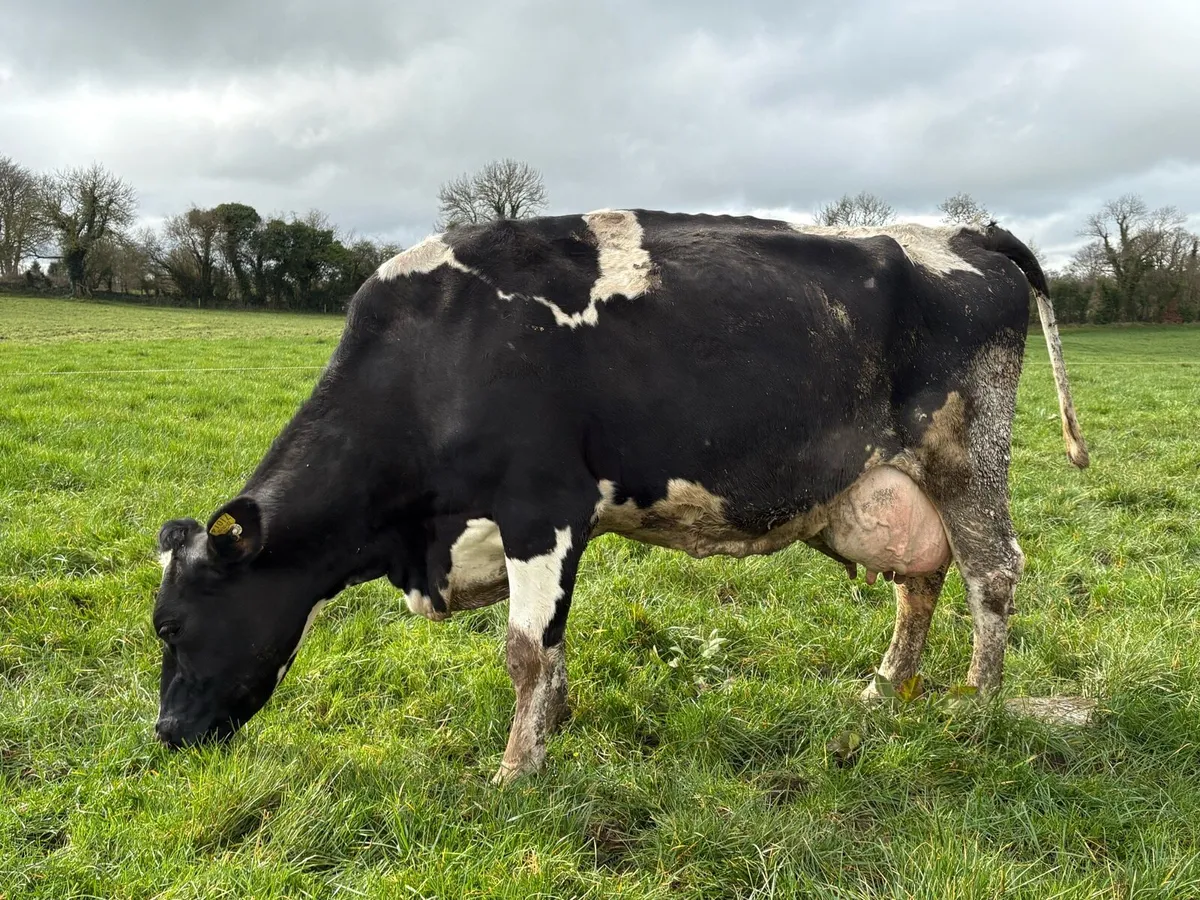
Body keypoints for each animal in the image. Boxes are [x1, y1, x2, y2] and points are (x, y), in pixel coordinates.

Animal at [151, 209, 1087, 783]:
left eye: (170, 624)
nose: (163, 733)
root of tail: (958, 229)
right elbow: (551, 645)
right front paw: (553, 729)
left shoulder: (543, 508)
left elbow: (524, 651)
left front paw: (515, 770)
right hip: (887, 485)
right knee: (920, 578)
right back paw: (887, 688)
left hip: (966, 455)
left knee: (992, 573)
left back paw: (979, 705)